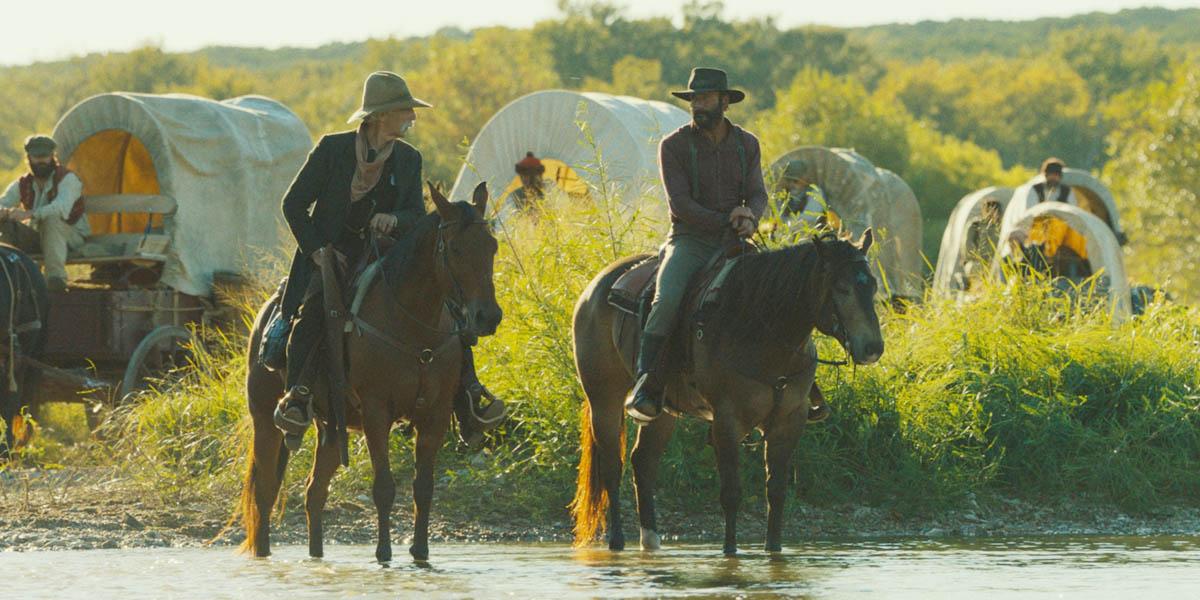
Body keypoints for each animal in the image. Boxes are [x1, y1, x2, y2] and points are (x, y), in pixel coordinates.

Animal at [238, 182, 501, 561]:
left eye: (492, 246)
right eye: (454, 248)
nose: (488, 317)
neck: (412, 328)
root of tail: (265, 313)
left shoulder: (435, 416)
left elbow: (423, 487)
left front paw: (420, 552)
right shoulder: (377, 412)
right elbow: (384, 487)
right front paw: (384, 553)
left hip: (332, 428)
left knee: (314, 492)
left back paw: (316, 555)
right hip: (264, 420)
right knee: (265, 491)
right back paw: (263, 554)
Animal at [566, 229, 888, 552]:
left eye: (872, 285)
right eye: (842, 288)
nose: (872, 348)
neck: (760, 330)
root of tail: (596, 286)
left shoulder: (789, 422)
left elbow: (777, 491)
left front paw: (773, 549)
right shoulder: (726, 421)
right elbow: (731, 493)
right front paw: (729, 551)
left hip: (663, 410)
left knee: (643, 462)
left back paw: (651, 541)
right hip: (603, 399)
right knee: (611, 465)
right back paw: (617, 541)